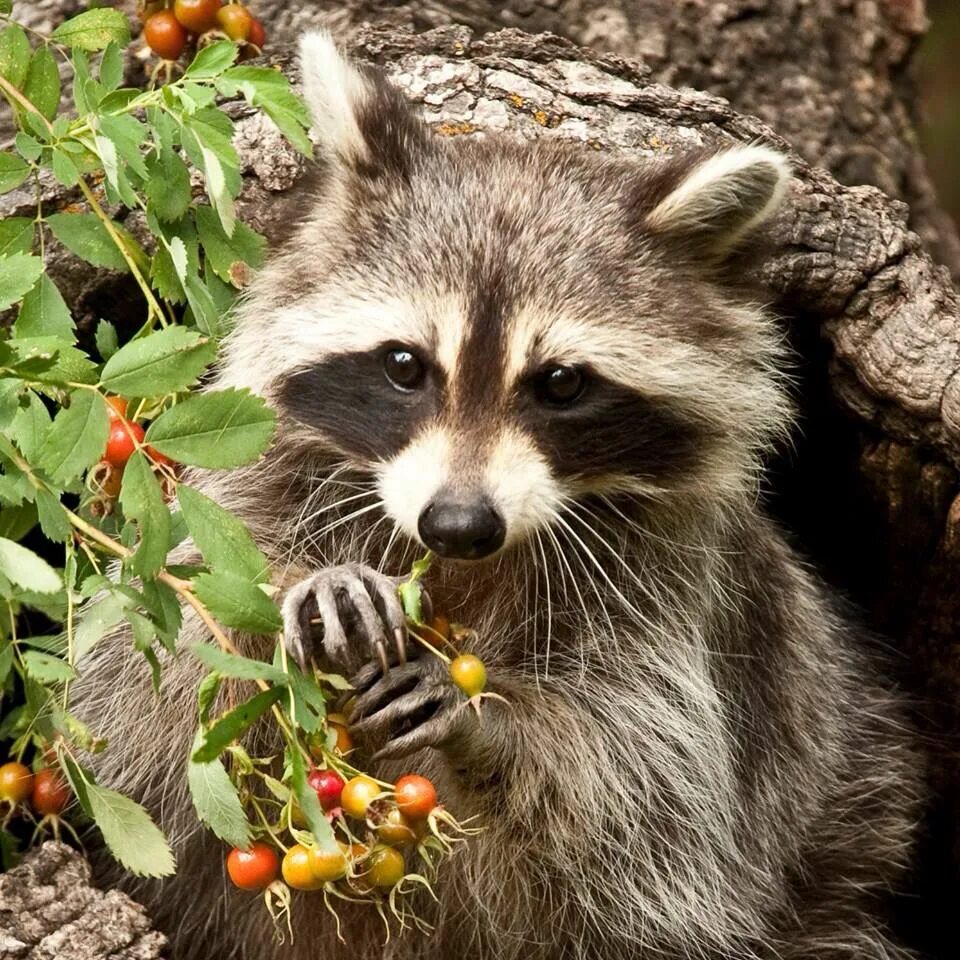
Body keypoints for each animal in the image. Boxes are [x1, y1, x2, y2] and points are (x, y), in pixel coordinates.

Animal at [67, 30, 924, 960]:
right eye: (403, 365)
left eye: (561, 384)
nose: (458, 523)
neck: (459, 568)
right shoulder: (252, 489)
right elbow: (154, 672)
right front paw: (310, 587)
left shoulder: (677, 592)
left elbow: (645, 781)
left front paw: (488, 720)